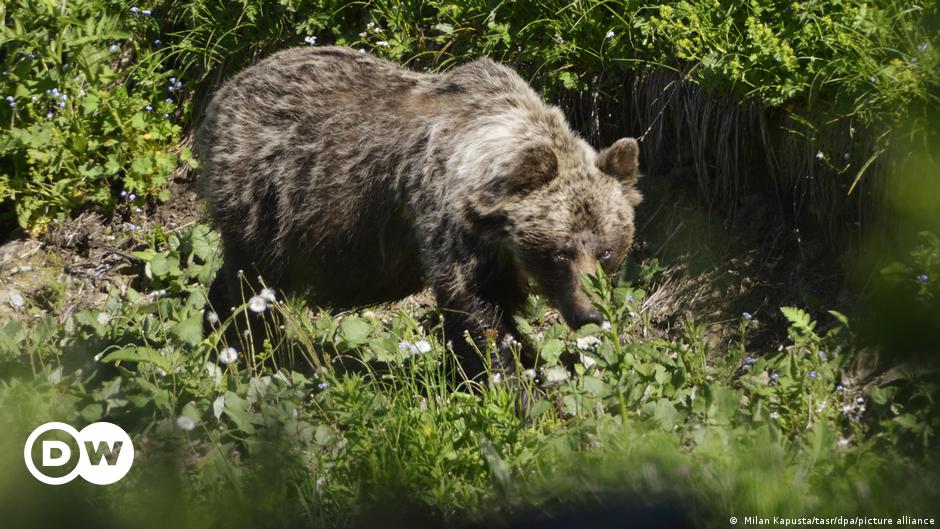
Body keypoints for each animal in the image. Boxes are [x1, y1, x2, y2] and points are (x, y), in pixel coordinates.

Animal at [196, 46, 643, 377]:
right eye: (560, 252)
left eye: (606, 250)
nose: (590, 313)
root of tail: (224, 90)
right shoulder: (446, 221)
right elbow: (476, 312)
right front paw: (514, 383)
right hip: (268, 197)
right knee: (251, 282)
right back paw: (244, 346)